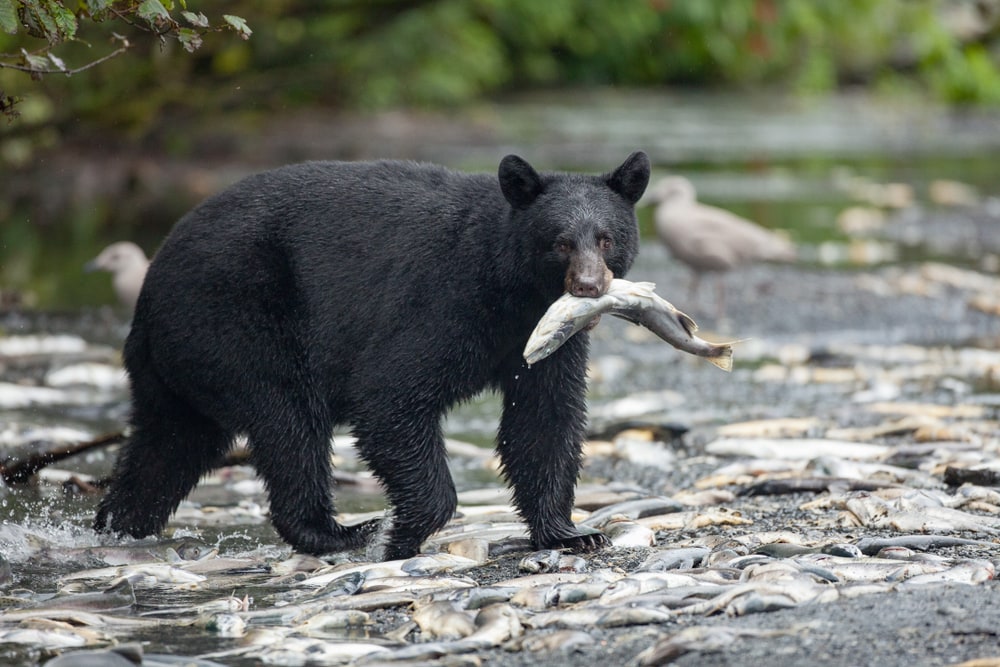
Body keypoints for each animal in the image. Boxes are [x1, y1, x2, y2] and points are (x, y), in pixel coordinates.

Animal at [94, 151, 651, 560]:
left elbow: (544, 420)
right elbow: (390, 395)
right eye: (560, 242)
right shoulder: (443, 301)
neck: (512, 291)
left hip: (177, 362)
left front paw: (572, 533)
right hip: (238, 319)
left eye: (606, 238)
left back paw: (116, 525)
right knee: (289, 423)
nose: (588, 286)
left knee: (169, 444)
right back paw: (339, 532)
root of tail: (151, 286)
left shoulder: (544, 341)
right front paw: (400, 532)